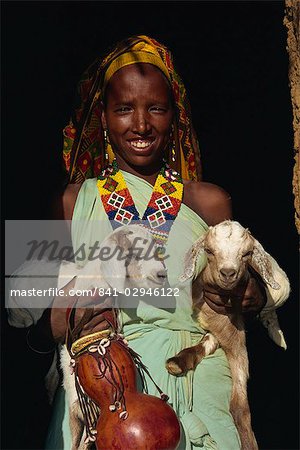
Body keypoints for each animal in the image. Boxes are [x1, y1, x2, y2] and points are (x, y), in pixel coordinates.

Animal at [165, 221, 290, 450]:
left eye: (247, 253)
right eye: (209, 251)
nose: (228, 273)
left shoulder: (237, 338)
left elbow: (239, 406)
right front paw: (180, 360)